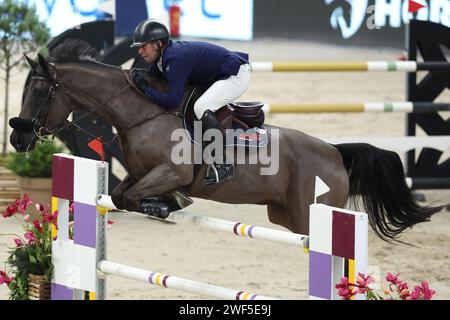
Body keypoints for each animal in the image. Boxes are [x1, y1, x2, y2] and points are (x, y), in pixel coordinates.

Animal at [9, 47, 442, 242]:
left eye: (40, 92)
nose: (18, 137)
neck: (141, 112)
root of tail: (335, 152)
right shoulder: (139, 173)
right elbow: (119, 194)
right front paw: (166, 204)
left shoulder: (171, 171)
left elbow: (132, 197)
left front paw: (163, 205)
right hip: (284, 216)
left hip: (311, 214)